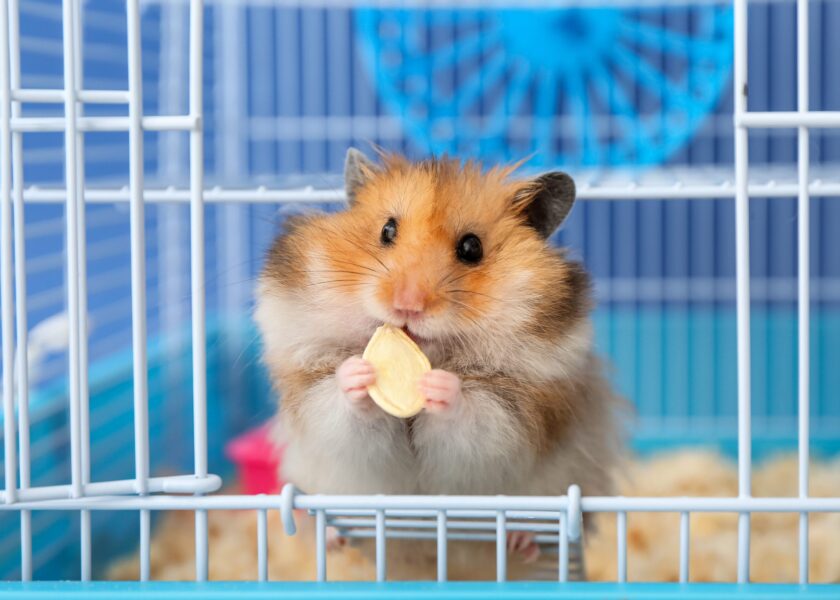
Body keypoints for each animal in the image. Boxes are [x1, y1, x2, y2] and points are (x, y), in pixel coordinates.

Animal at [254, 148, 624, 580]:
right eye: (387, 231)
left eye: (471, 248)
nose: (407, 306)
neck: (432, 354)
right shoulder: (314, 398)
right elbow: (340, 409)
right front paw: (358, 374)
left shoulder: (518, 415)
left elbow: (474, 416)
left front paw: (441, 386)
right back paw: (332, 535)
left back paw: (522, 539)